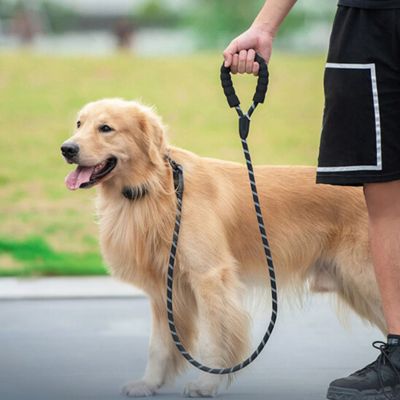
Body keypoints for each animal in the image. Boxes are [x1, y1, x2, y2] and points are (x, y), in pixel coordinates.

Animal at [60, 97, 384, 396]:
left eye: (106, 128)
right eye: (79, 124)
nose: (67, 149)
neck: (156, 188)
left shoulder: (210, 277)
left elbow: (217, 338)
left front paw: (206, 384)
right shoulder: (165, 288)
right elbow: (160, 345)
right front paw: (149, 383)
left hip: (367, 279)